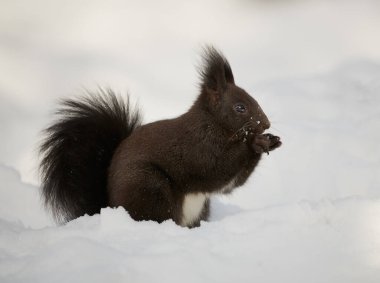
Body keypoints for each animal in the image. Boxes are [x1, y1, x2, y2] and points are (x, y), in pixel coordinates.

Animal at [39, 46, 282, 229]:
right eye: (240, 107)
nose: (266, 124)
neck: (213, 124)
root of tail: (109, 207)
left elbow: (231, 184)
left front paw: (270, 141)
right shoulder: (198, 147)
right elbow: (217, 168)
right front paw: (255, 142)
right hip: (150, 187)